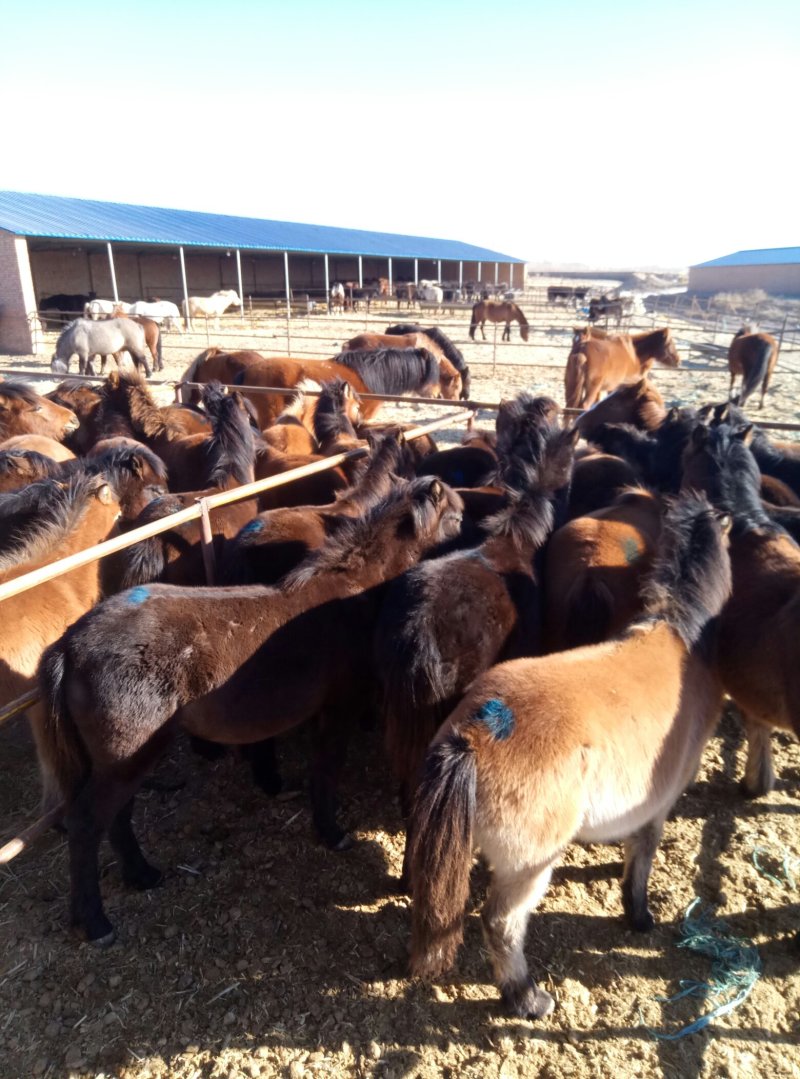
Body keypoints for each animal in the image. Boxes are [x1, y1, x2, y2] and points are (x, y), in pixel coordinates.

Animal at [35, 475, 464, 944]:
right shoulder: (339, 707)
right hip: (124, 760)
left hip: (118, 763)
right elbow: (327, 768)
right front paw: (332, 833)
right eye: (457, 517)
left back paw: (143, 876)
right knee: (86, 824)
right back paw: (97, 923)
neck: (350, 594)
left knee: (116, 817)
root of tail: (69, 646)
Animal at [408, 493, 732, 1018]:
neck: (676, 632)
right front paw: (639, 916)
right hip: (530, 865)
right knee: (502, 923)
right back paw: (527, 998)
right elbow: (642, 858)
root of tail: (477, 733)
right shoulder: (658, 807)